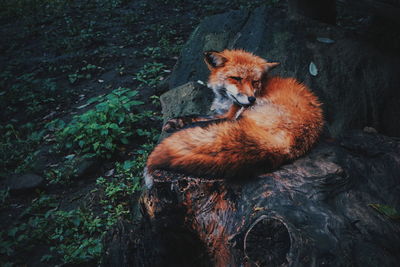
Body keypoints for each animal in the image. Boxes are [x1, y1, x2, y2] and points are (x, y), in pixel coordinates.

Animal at [145, 49, 324, 180]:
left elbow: (201, 118)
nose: (252, 99)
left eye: (255, 82)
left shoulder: (230, 114)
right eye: (236, 78)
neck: (225, 100)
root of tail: (285, 144)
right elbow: (197, 114)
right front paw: (176, 121)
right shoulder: (223, 112)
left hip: (244, 116)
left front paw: (181, 124)